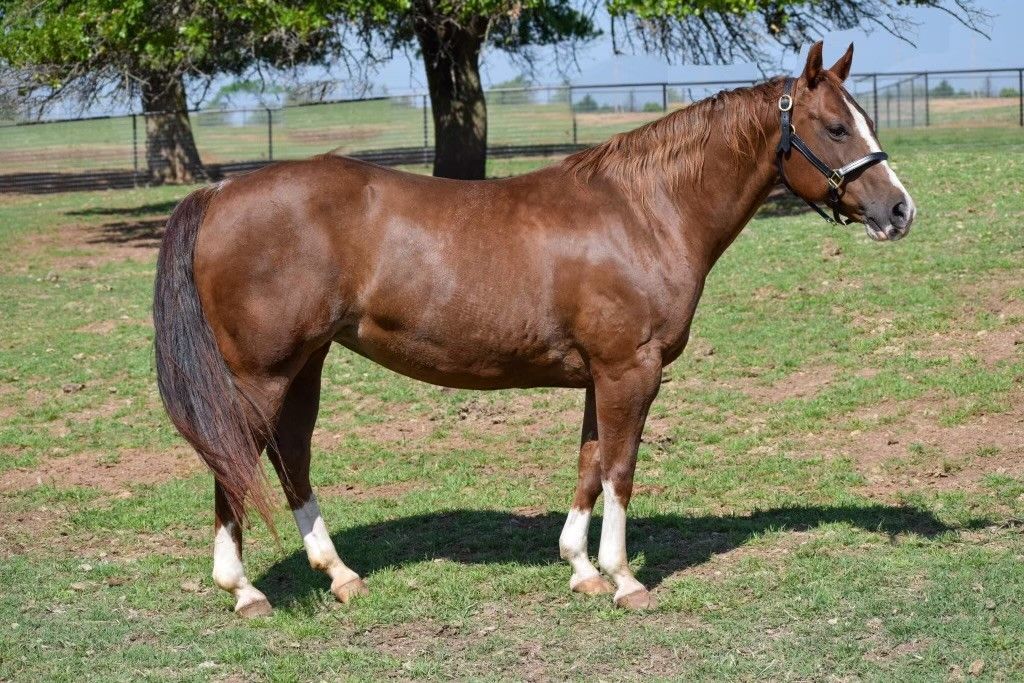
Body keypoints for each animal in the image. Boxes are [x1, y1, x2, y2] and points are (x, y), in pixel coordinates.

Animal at [153, 41, 915, 616]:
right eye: (836, 127)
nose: (900, 210)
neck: (645, 211)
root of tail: (219, 192)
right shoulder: (630, 369)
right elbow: (620, 470)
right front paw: (625, 579)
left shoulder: (600, 374)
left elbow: (589, 465)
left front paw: (581, 568)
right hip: (261, 372)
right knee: (235, 459)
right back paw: (244, 590)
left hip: (304, 364)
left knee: (290, 456)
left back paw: (339, 574)